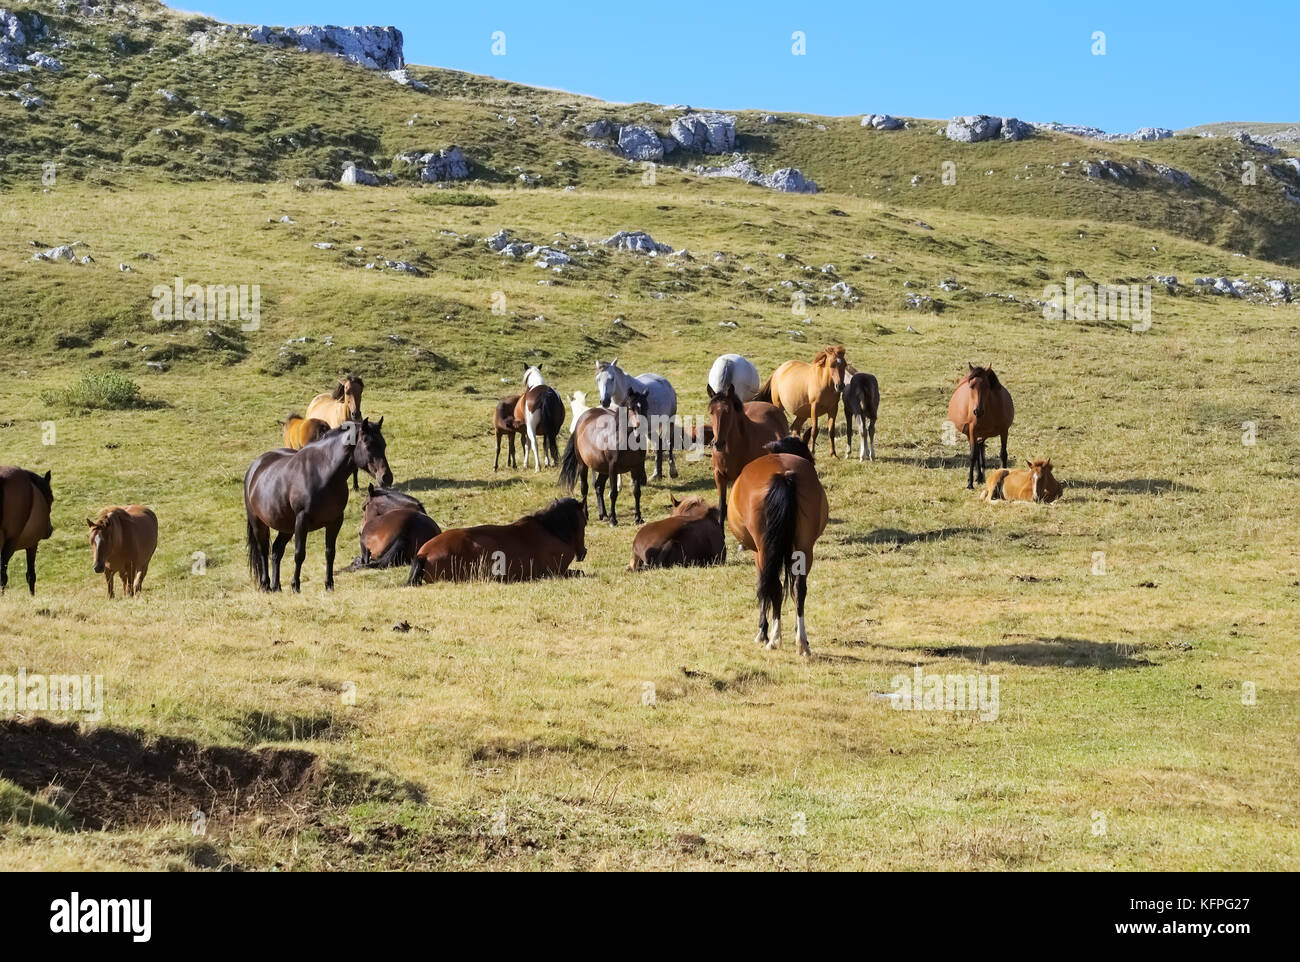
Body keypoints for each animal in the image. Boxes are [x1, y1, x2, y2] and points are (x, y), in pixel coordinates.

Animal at [0, 467, 53, 596]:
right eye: (51, 499)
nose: (50, 529)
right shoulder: (33, 544)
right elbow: (31, 575)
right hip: (11, 543)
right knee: (3, 575)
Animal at [244, 418, 390, 592]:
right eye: (368, 445)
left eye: (384, 444)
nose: (386, 477)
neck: (323, 473)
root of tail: (254, 468)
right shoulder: (302, 520)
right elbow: (299, 554)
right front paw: (295, 585)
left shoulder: (335, 521)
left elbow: (330, 552)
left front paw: (329, 584)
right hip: (259, 524)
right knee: (263, 551)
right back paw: (266, 585)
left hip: (286, 527)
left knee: (276, 551)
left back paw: (276, 586)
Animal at [559, 389, 649, 526]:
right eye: (630, 407)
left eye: (645, 406)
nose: (640, 427)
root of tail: (582, 418)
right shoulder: (613, 468)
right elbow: (613, 493)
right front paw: (613, 520)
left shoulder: (637, 467)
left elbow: (637, 492)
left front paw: (638, 518)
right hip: (583, 465)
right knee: (584, 488)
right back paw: (586, 514)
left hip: (603, 468)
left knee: (598, 486)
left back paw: (604, 514)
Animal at [726, 439, 828, 656]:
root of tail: (783, 475)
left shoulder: (758, 554)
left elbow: (762, 586)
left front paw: (762, 632)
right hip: (805, 547)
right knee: (799, 588)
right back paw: (802, 641)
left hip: (765, 551)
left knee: (775, 586)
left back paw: (774, 639)